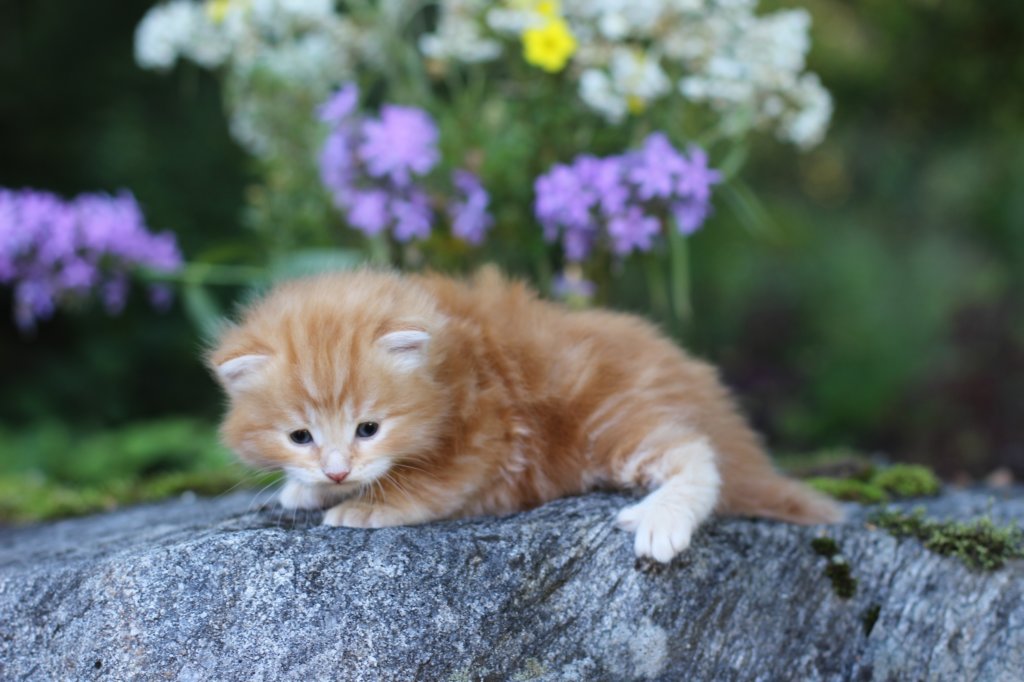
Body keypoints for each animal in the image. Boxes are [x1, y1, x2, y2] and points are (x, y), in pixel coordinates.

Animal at [208, 267, 842, 563]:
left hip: (611, 423)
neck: (449, 366)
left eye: (370, 428)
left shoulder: (482, 438)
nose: (337, 470)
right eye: (300, 436)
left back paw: (663, 521)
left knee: (697, 453)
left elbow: (426, 485)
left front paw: (365, 508)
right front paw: (307, 488)